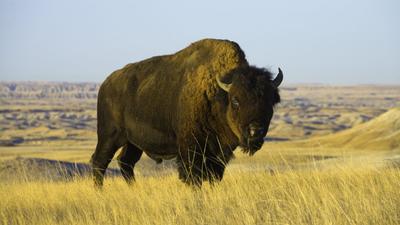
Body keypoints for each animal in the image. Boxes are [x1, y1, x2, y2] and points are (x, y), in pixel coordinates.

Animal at [91, 38, 282, 186]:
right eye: (235, 100)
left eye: (270, 101)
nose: (255, 131)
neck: (218, 95)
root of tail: (105, 84)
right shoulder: (191, 149)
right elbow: (193, 177)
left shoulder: (218, 153)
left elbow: (214, 176)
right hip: (110, 136)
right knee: (100, 161)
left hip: (133, 142)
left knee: (126, 162)